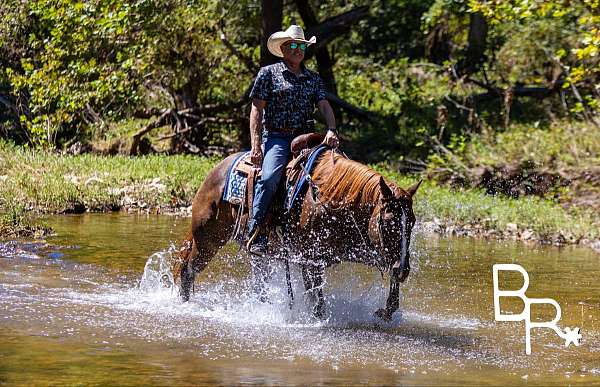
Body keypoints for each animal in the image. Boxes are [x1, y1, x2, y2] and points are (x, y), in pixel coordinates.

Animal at [171, 148, 420, 322]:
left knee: (259, 284)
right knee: (188, 270)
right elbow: (316, 301)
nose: (403, 269)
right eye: (388, 222)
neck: (330, 200)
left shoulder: (360, 249)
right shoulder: (310, 260)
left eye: (412, 222)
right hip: (208, 239)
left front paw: (386, 311)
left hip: (256, 253)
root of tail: (216, 170)